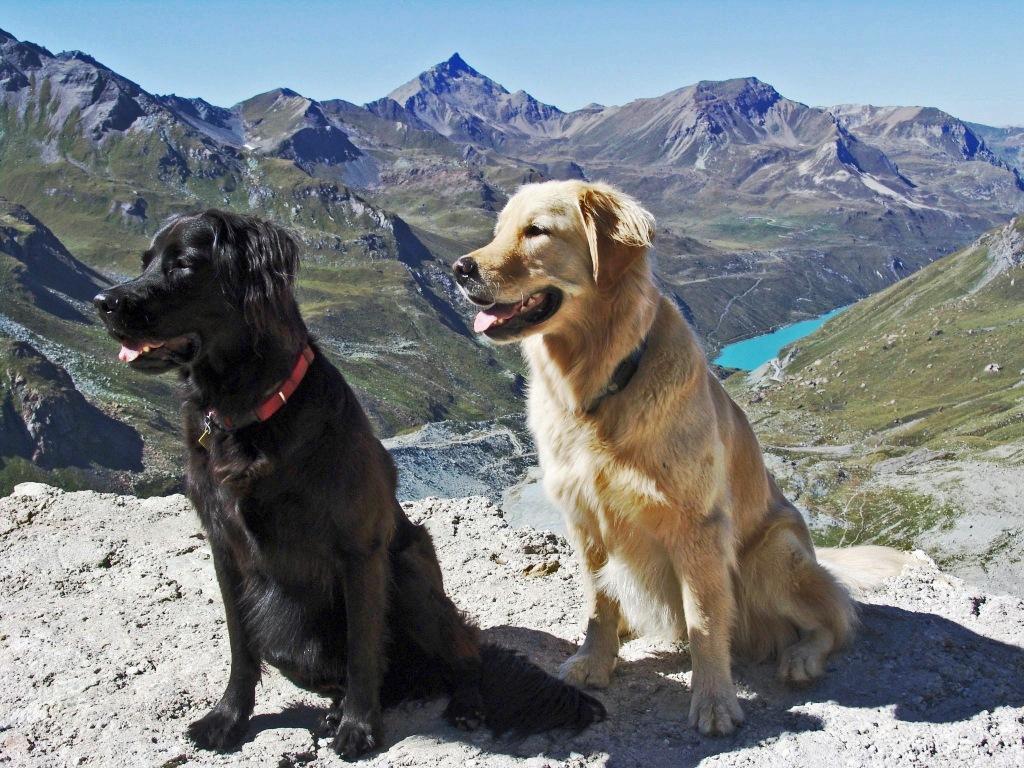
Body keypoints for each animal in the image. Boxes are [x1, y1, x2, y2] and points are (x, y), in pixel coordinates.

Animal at [92, 211, 602, 765]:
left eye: (183, 264)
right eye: (145, 261)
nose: (103, 302)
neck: (250, 414)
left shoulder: (359, 551)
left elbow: (363, 649)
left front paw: (359, 728)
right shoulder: (224, 546)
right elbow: (240, 645)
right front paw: (229, 718)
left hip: (412, 570)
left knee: (463, 654)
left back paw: (459, 703)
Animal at [452, 180, 909, 741]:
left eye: (536, 230)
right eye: (498, 231)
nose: (460, 269)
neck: (602, 382)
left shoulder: (697, 526)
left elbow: (705, 620)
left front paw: (714, 702)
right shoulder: (584, 517)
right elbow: (598, 602)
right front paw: (594, 661)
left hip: (772, 555)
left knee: (835, 618)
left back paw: (802, 656)